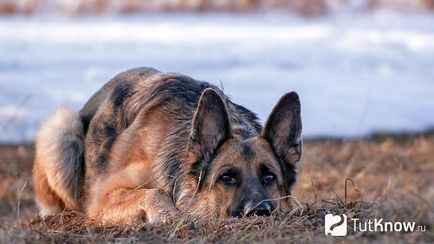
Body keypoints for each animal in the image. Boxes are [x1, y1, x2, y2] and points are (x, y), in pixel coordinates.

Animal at [33, 66, 302, 225]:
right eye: (226, 178)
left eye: (270, 177)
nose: (258, 212)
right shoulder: (103, 199)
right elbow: (155, 192)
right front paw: (169, 216)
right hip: (62, 128)